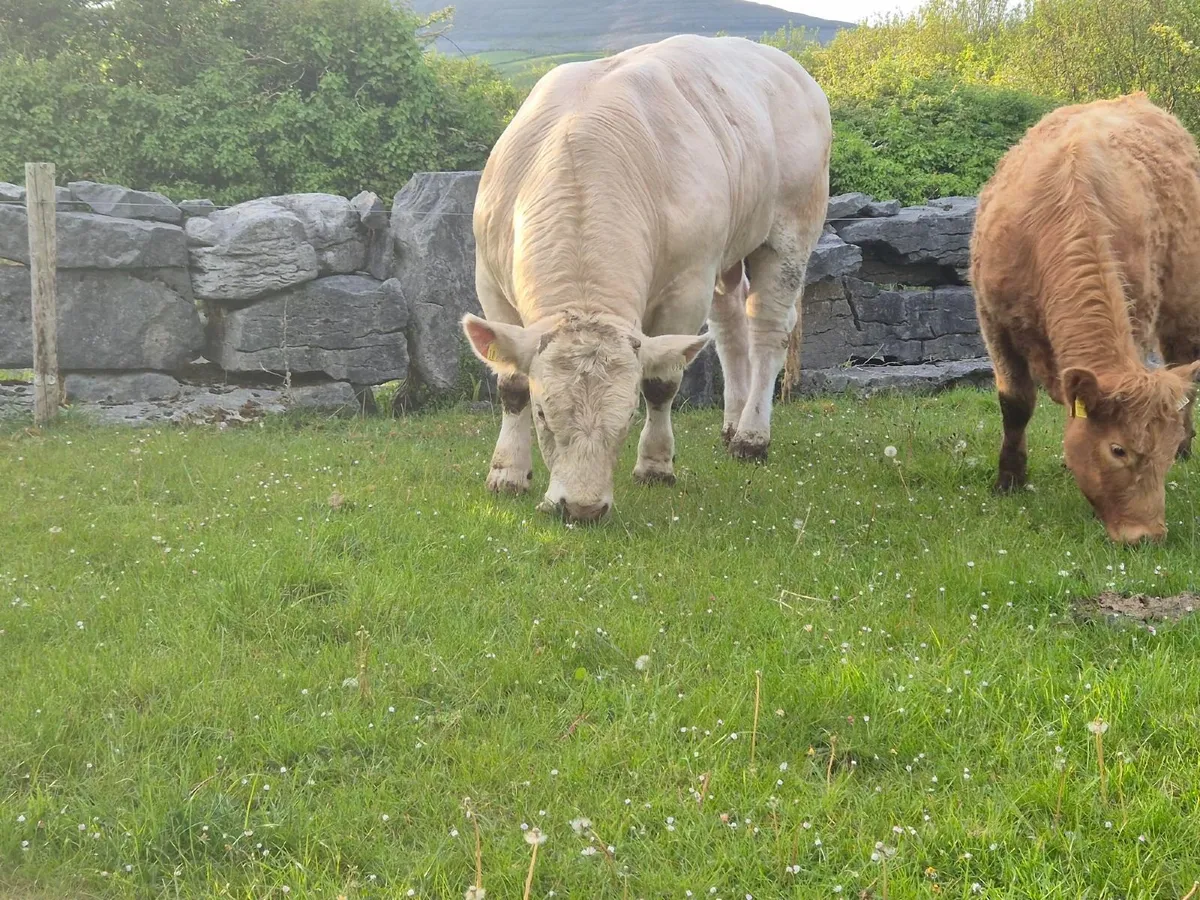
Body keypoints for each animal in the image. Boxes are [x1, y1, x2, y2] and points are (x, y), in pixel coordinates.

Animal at [461, 34, 832, 523]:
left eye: (628, 419)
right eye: (543, 415)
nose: (582, 509)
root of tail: (789, 67)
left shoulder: (687, 284)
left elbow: (662, 382)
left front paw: (655, 464)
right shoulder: (491, 283)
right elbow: (511, 383)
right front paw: (506, 473)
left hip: (790, 228)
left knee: (767, 329)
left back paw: (751, 437)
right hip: (725, 252)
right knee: (730, 328)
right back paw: (731, 425)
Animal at [970, 93, 1200, 543]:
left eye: (1161, 453)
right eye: (1118, 449)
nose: (1147, 535)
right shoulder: (994, 324)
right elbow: (1015, 404)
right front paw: (1009, 481)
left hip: (1185, 302)